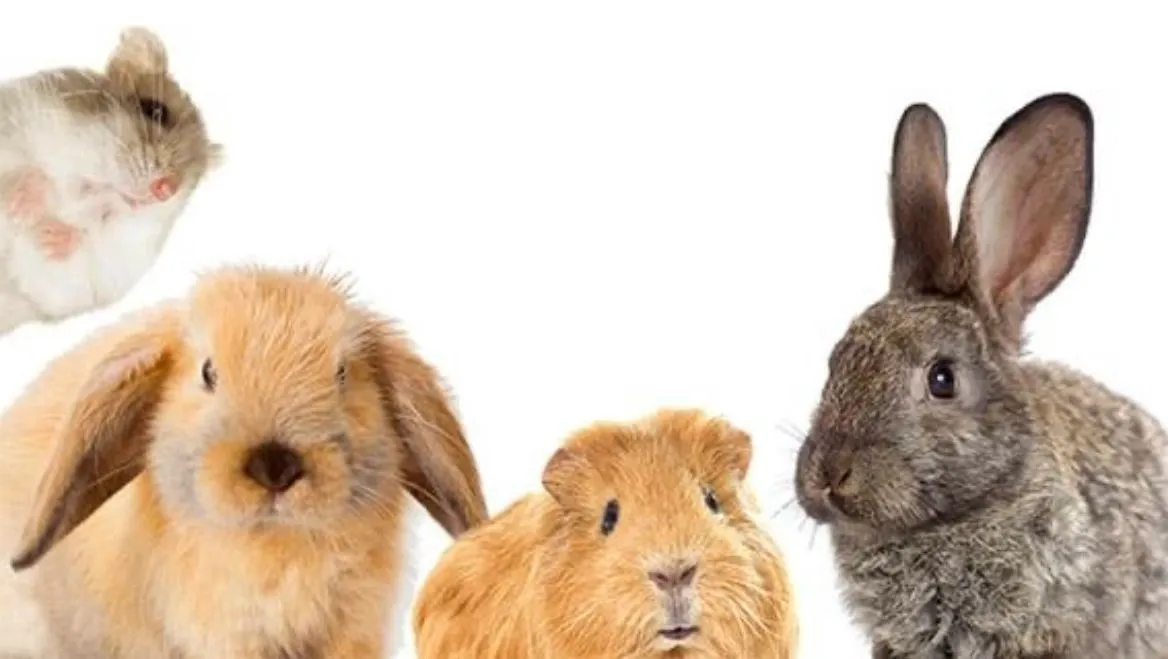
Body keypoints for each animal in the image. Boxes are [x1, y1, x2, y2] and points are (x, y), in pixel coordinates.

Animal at [0, 26, 221, 335]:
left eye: (195, 178)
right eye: (155, 110)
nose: (166, 190)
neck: (83, 187)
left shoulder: (91, 283)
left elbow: (62, 272)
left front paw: (51, 234)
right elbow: (19, 163)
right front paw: (25, 205)